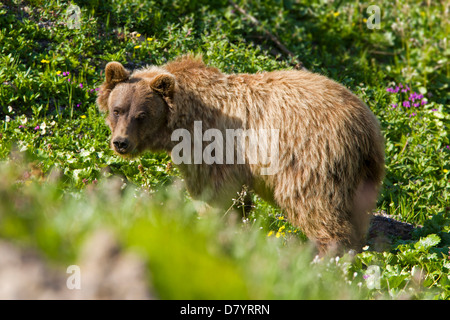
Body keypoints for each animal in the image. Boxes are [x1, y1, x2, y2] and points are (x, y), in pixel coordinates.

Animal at [96, 55, 384, 255]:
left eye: (141, 115)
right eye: (117, 109)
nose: (121, 142)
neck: (182, 120)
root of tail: (365, 128)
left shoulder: (214, 146)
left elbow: (215, 194)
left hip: (312, 158)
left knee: (316, 206)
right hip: (362, 175)